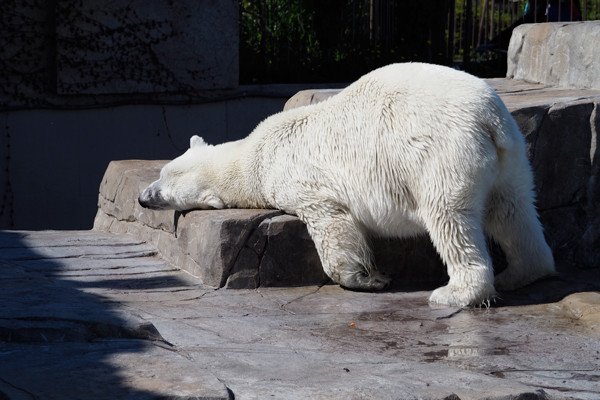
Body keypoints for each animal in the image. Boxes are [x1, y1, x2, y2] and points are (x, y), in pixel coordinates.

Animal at [138, 62, 556, 306]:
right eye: (162, 174)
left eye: (165, 191)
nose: (142, 198)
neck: (253, 154)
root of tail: (487, 118)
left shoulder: (299, 180)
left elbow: (333, 225)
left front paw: (369, 279)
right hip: (511, 155)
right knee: (512, 208)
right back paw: (521, 272)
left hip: (439, 155)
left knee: (449, 217)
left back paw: (455, 293)